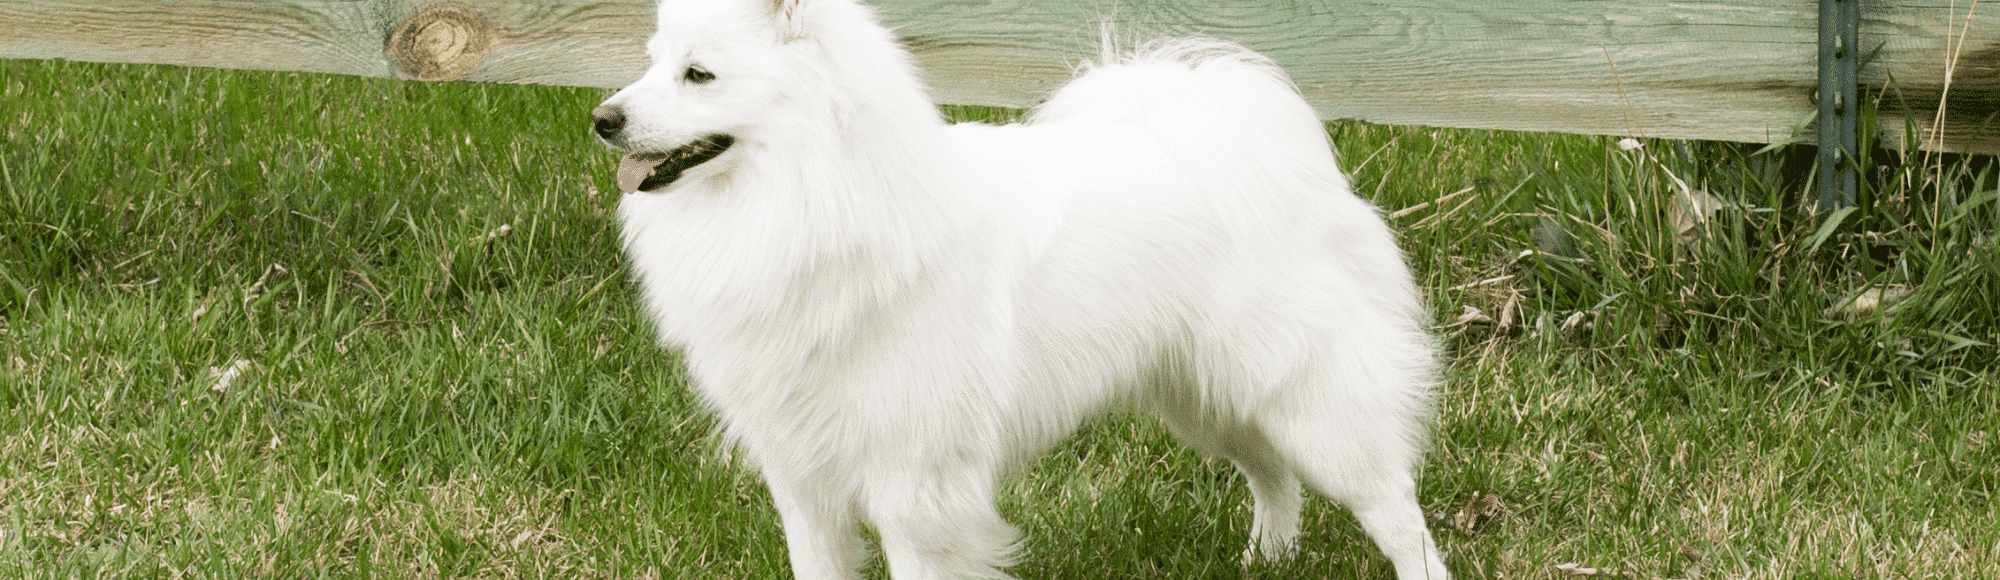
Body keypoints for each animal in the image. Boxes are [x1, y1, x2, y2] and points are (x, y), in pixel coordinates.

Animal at [592, 1, 1456, 580]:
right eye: (651, 61)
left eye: (699, 74)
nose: (603, 117)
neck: (817, 201)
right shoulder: (804, 479)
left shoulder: (913, 486)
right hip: (1206, 396)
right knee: (1272, 476)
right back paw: (1264, 559)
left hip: (1307, 399)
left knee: (1392, 507)